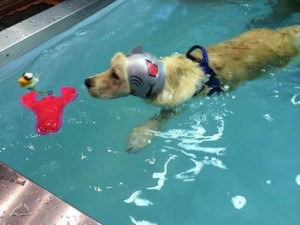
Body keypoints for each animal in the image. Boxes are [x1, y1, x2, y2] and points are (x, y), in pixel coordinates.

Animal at [84, 25, 300, 153]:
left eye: (116, 75)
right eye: (109, 67)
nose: (86, 81)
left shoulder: (181, 101)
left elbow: (160, 117)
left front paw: (139, 136)